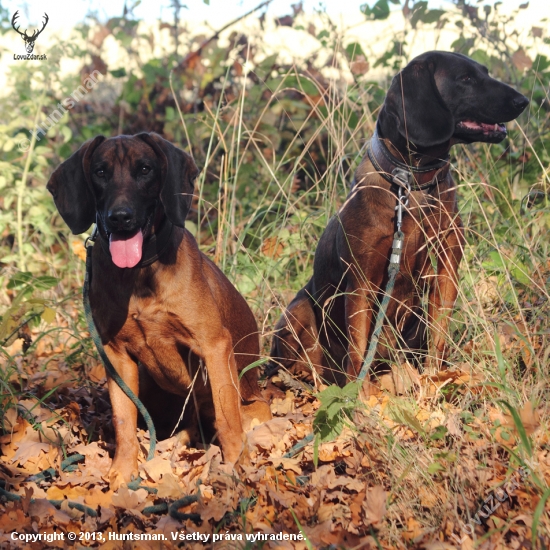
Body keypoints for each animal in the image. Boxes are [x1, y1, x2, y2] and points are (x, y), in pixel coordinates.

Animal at [47, 134, 272, 488]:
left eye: (145, 169)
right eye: (100, 171)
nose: (120, 216)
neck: (139, 274)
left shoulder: (214, 344)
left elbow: (227, 415)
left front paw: (236, 464)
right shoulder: (116, 356)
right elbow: (124, 420)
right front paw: (123, 473)